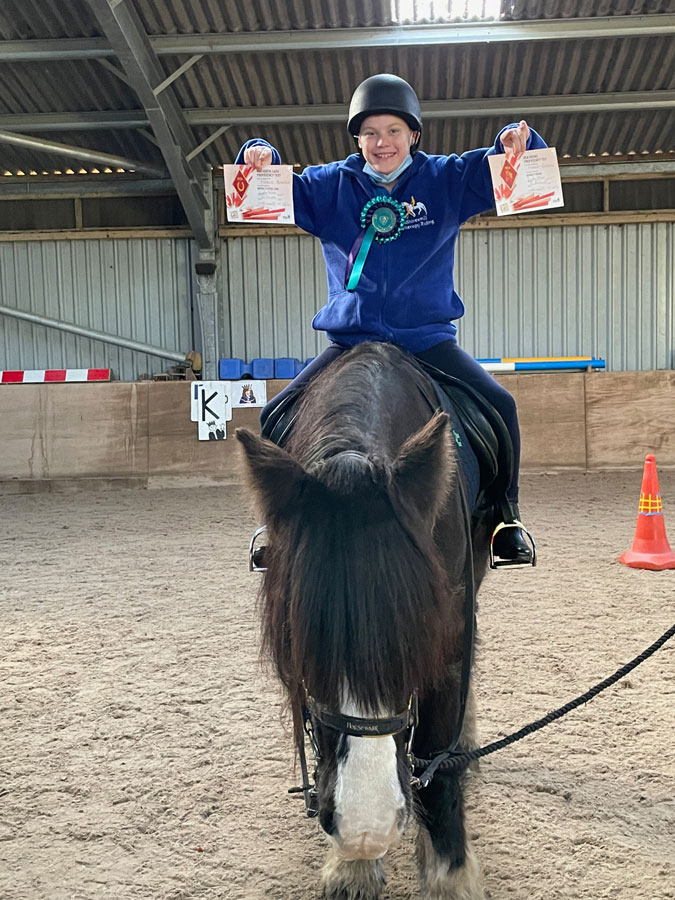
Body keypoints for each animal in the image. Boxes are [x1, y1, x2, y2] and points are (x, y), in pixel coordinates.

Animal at [238, 342, 492, 900]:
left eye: (419, 639)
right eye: (299, 643)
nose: (366, 827)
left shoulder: (452, 624)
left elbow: (437, 759)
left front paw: (450, 876)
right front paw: (352, 867)